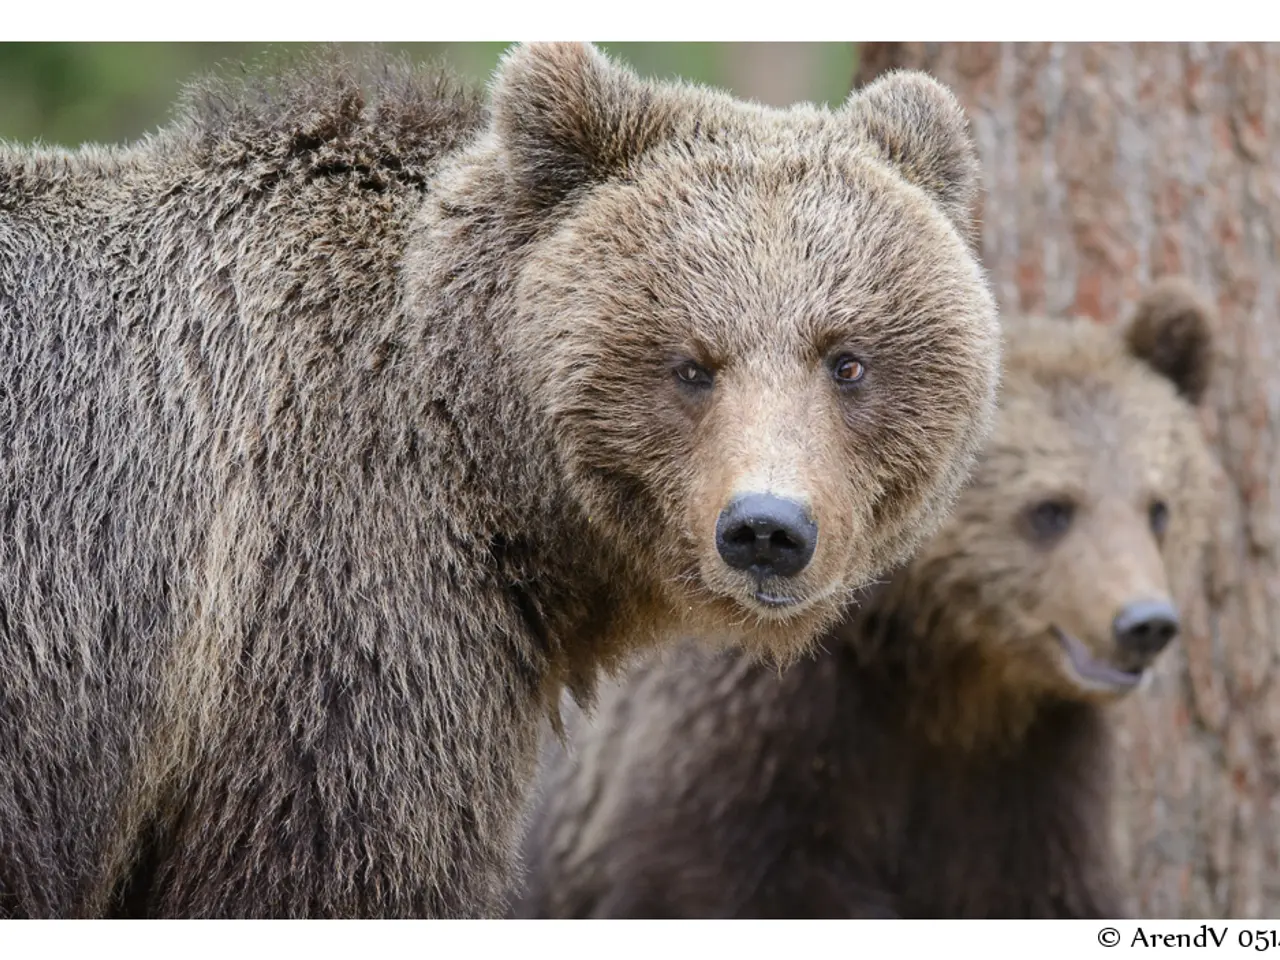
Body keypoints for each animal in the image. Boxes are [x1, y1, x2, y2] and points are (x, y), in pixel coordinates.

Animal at [509, 276, 1218, 920]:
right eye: (1050, 509)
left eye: (1159, 508)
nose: (1145, 623)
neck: (946, 674)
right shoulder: (756, 739)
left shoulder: (1030, 774)